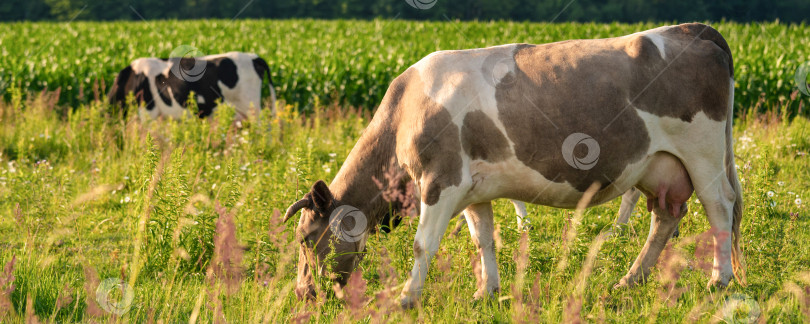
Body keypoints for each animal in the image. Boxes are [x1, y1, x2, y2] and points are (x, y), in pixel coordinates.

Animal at [284, 22, 744, 306]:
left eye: (305, 239)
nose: (304, 294)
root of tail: (691, 29)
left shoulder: (441, 181)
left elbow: (423, 244)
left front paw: (407, 298)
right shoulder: (473, 190)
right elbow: (484, 239)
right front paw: (486, 292)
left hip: (703, 154)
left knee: (719, 209)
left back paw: (718, 280)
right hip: (657, 166)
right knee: (666, 217)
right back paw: (630, 280)